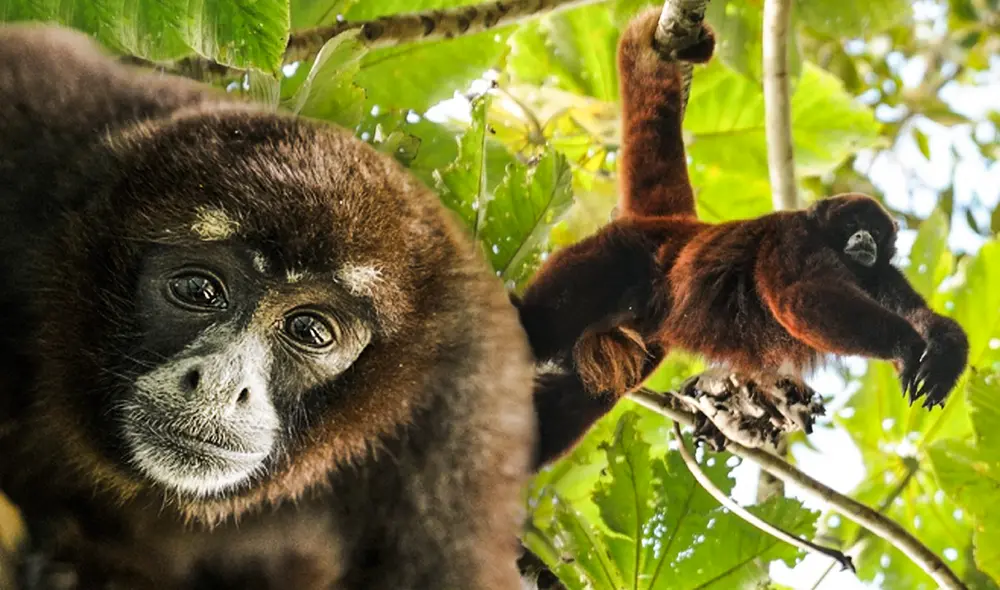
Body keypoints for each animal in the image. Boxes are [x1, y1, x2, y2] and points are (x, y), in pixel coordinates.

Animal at [517, 8, 969, 468]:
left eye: (875, 230)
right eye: (850, 224)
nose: (864, 238)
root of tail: (671, 227)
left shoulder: (880, 273)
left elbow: (917, 311)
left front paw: (945, 353)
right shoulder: (792, 239)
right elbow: (799, 297)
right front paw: (906, 344)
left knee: (577, 399)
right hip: (615, 255)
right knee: (544, 323)